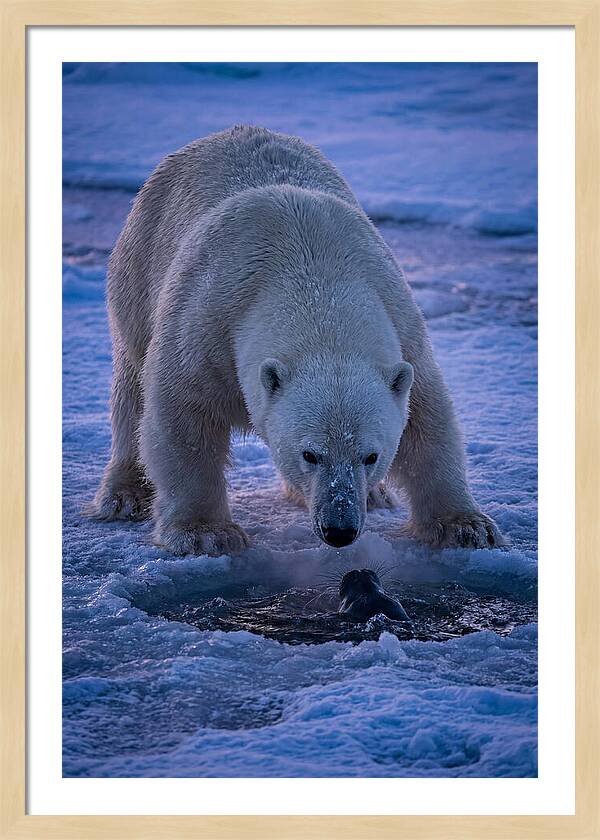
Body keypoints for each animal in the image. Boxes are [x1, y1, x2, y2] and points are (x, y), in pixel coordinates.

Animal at [90, 125, 502, 556]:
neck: (313, 275)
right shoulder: (207, 322)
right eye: (310, 454)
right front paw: (205, 533)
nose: (340, 529)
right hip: (138, 268)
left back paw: (375, 496)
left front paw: (467, 526)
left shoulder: (402, 325)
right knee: (132, 385)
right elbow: (183, 416)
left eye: (371, 455)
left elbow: (427, 419)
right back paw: (124, 494)